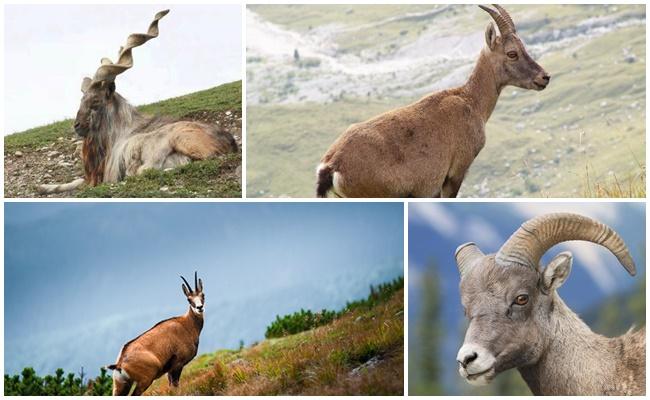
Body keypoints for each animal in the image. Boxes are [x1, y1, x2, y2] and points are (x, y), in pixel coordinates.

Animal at [38, 9, 235, 195]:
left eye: (95, 101)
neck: (120, 131)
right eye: (82, 99)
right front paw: (43, 187)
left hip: (178, 139)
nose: (77, 126)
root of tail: (229, 141)